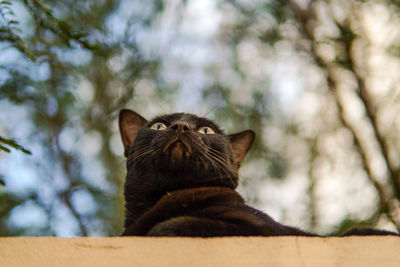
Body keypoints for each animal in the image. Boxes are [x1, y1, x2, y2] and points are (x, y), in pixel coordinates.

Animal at [118, 110, 396, 238]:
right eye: (158, 126)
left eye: (207, 131)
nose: (181, 126)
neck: (171, 194)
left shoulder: (261, 229)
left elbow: (175, 224)